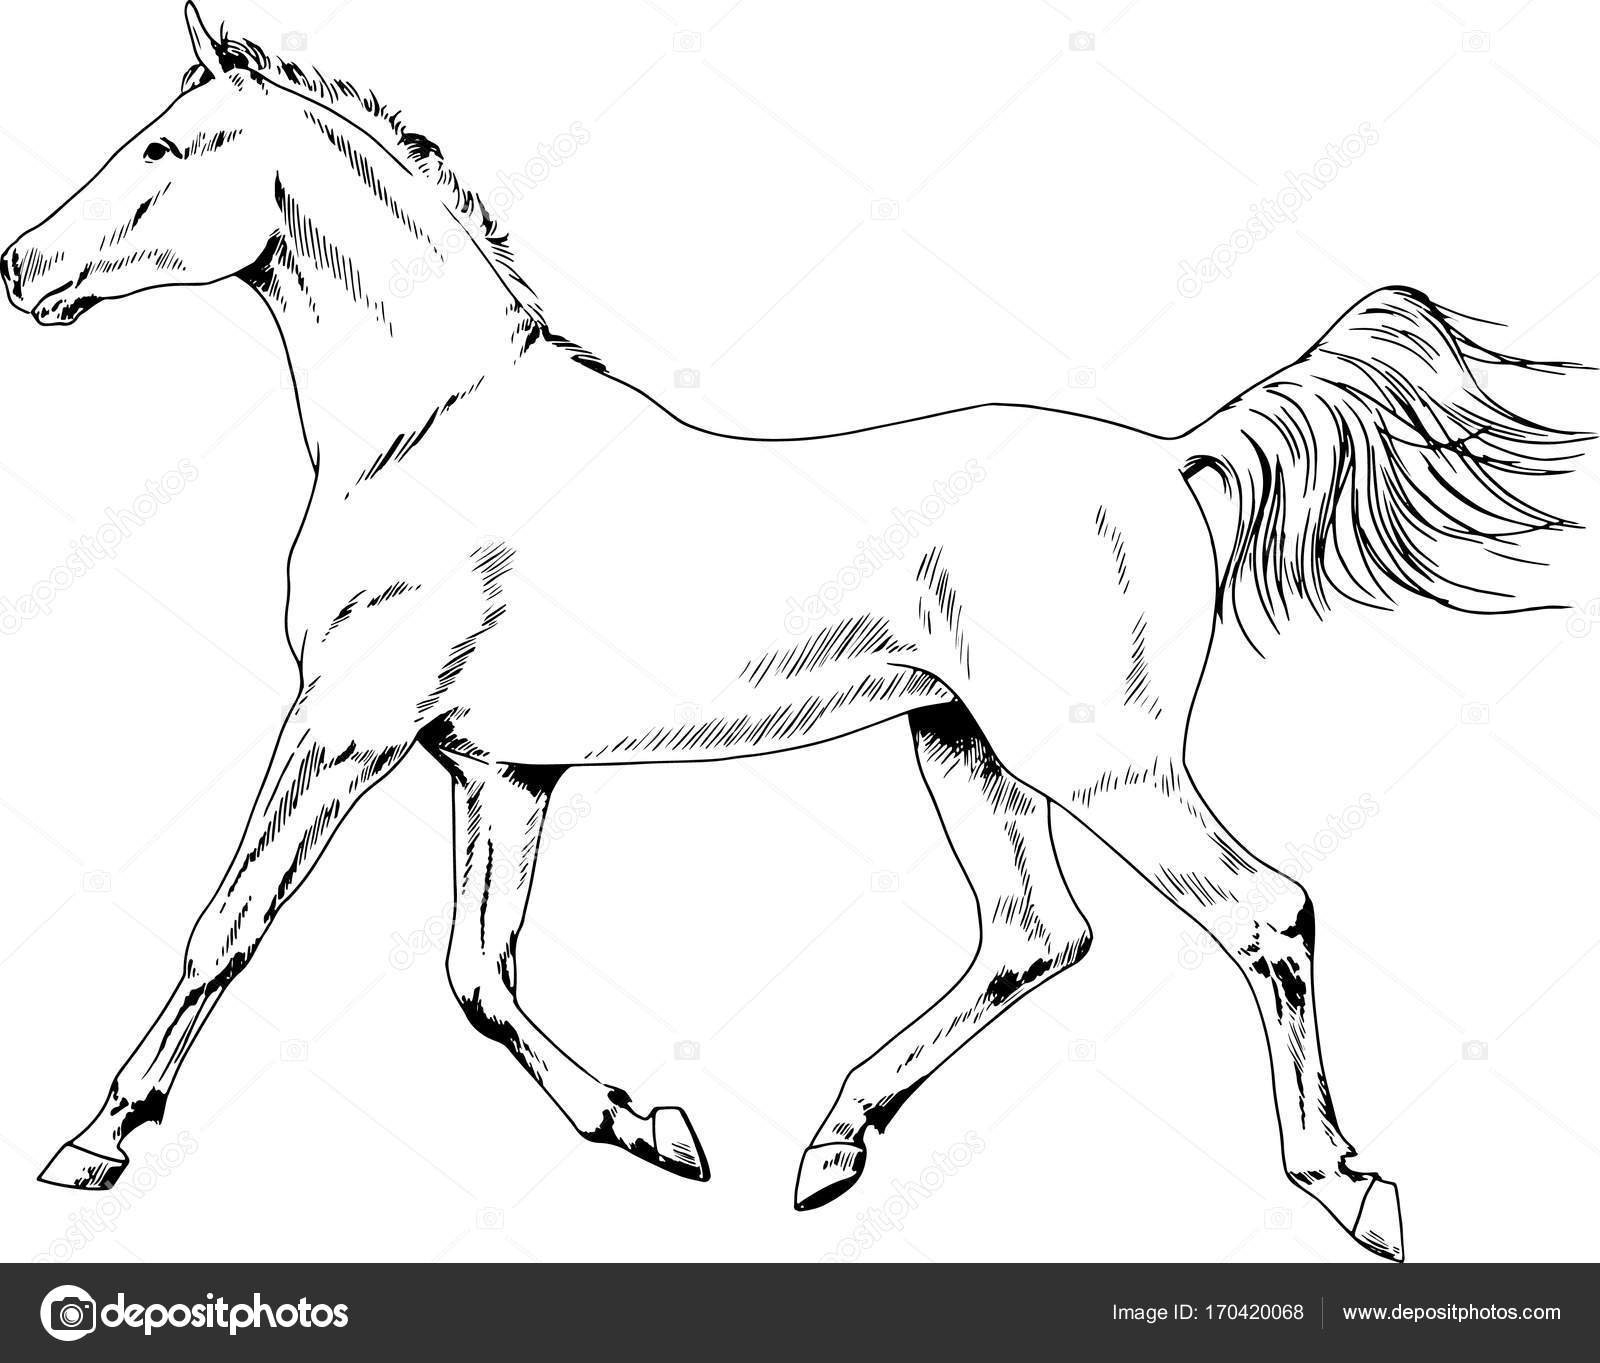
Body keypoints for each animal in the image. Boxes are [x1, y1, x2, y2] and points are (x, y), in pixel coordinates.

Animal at [4, 5, 1585, 1262]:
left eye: (167, 149)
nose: (22, 267)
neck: (427, 435)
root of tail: (1171, 455)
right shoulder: (498, 768)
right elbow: (478, 974)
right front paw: (652, 1125)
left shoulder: (348, 726)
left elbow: (228, 925)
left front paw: (94, 1141)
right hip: (965, 747)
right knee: (1037, 931)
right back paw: (831, 1144)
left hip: (1099, 759)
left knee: (1265, 911)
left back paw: (1350, 1186)